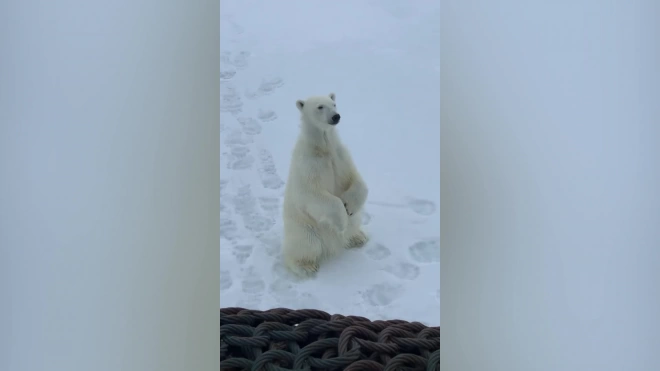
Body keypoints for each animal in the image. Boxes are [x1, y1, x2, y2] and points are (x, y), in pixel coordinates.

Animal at [282, 93, 368, 278]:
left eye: (334, 104)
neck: (322, 148)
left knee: (354, 223)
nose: (336, 116)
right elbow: (312, 193)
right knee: (306, 244)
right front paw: (342, 220)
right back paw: (305, 266)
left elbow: (356, 180)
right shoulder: (309, 165)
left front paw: (349, 206)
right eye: (320, 107)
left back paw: (357, 237)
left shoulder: (340, 156)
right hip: (304, 227)